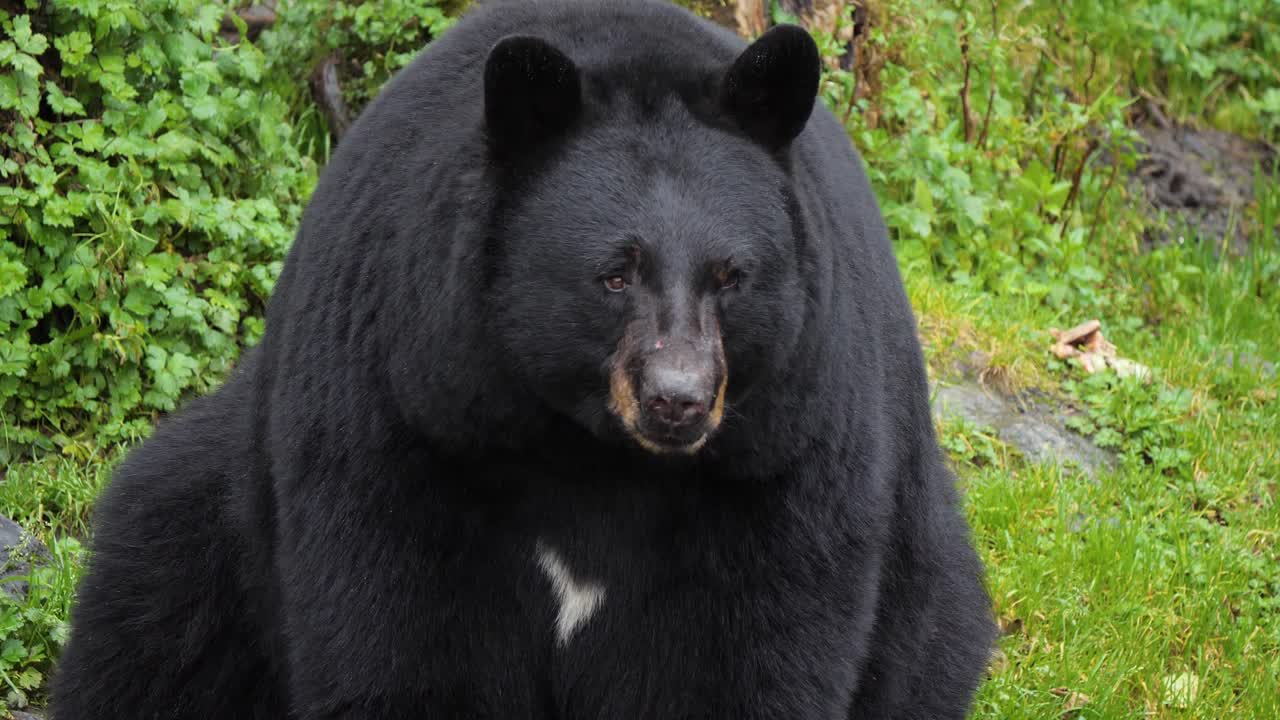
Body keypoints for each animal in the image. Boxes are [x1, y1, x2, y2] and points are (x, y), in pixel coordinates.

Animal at [49, 0, 996, 718]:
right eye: (614, 273)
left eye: (732, 277)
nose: (678, 401)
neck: (586, 449)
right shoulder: (401, 402)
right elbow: (397, 631)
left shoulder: (784, 448)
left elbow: (745, 653)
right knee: (153, 605)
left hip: (926, 591)